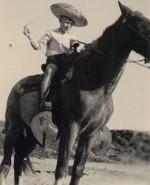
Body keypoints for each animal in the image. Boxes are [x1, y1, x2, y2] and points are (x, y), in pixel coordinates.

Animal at [0, 2, 150, 185]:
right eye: (138, 21)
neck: (94, 84)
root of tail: (17, 87)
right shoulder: (70, 127)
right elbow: (61, 169)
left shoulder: (90, 134)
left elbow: (77, 170)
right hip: (12, 127)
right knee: (6, 163)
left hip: (32, 134)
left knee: (19, 160)